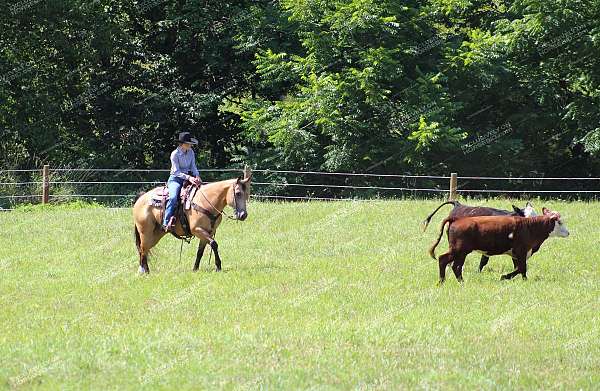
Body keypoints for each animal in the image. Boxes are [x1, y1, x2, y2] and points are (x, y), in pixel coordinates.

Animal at [428, 208, 568, 284]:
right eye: (560, 222)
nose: (568, 232)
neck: (530, 227)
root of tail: (456, 219)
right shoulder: (521, 251)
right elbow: (522, 268)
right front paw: (506, 277)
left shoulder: (516, 254)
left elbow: (519, 268)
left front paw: (516, 278)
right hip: (459, 250)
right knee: (445, 261)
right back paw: (445, 281)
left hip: (460, 252)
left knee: (454, 265)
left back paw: (455, 282)